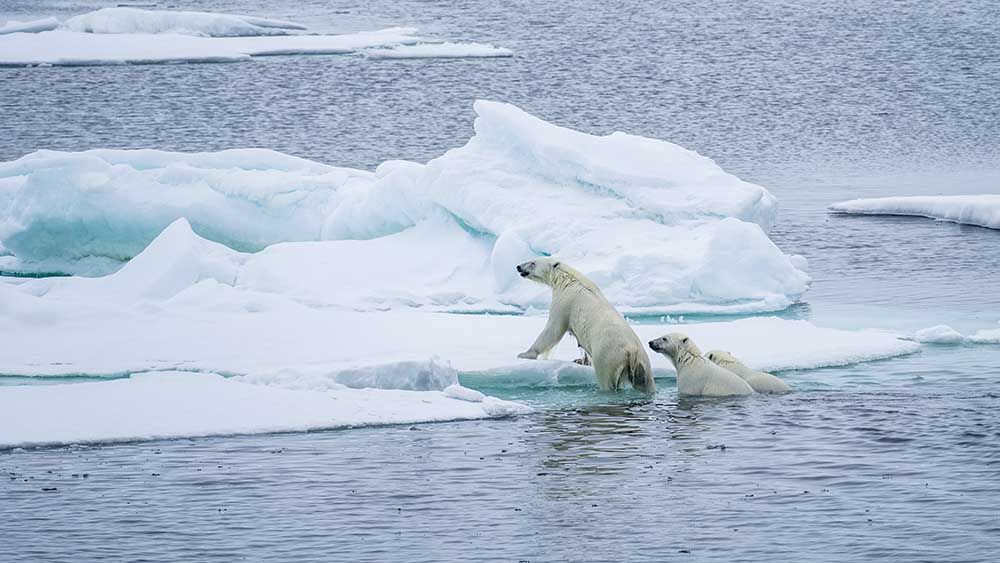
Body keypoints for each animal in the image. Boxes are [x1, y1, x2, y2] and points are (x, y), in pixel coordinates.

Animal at [516, 258, 656, 394]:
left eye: (532, 263)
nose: (518, 267)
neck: (568, 280)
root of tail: (632, 352)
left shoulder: (565, 302)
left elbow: (553, 330)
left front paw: (524, 354)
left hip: (609, 357)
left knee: (607, 380)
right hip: (643, 364)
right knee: (645, 382)